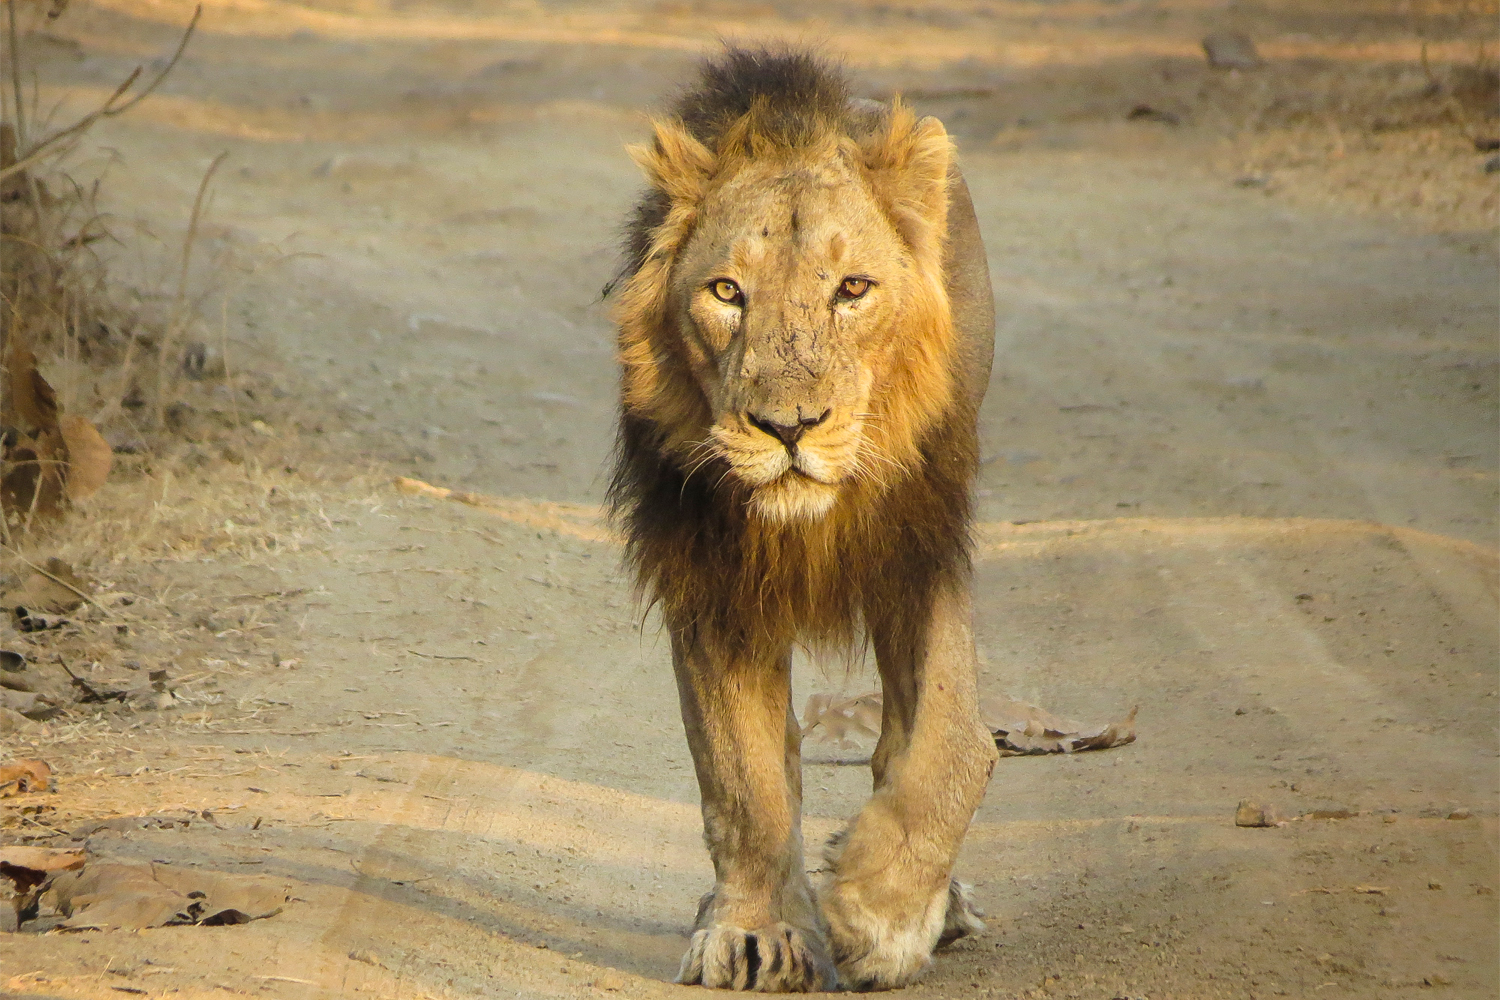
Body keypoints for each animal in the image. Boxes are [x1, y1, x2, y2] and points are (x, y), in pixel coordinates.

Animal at [607, 48, 999, 992]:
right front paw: (754, 930)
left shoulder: (917, 550)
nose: (788, 428)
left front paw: (879, 910)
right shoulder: (713, 580)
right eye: (726, 292)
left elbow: (949, 744)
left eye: (853, 289)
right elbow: (743, 777)